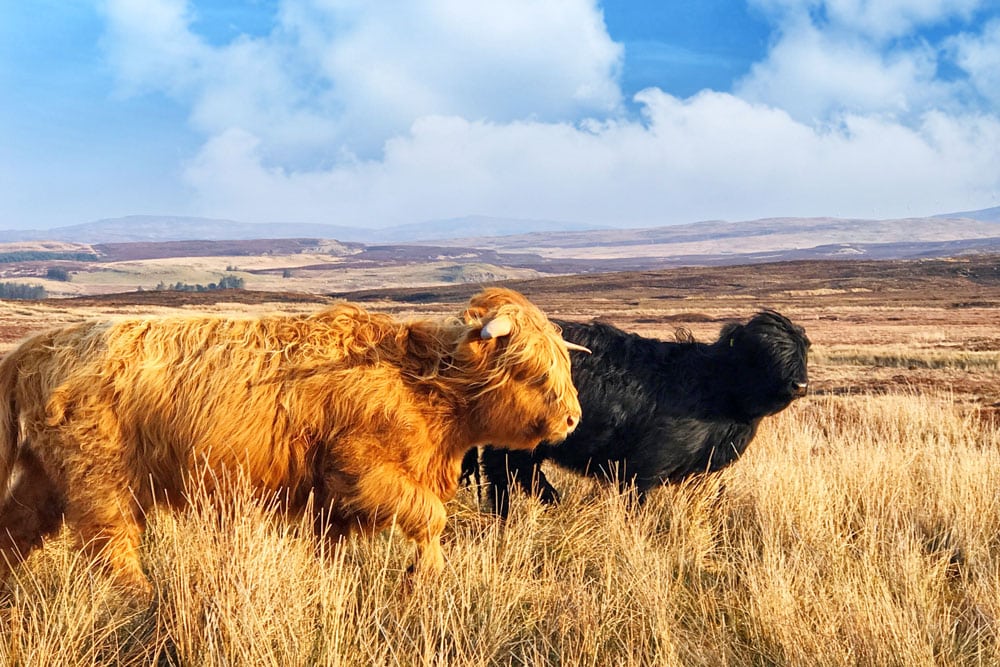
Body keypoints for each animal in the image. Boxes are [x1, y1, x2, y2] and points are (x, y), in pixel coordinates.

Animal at [0, 288, 584, 596]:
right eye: (532, 370)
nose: (574, 418)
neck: (423, 384)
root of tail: (39, 346)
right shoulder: (360, 466)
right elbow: (430, 515)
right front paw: (427, 573)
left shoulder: (332, 497)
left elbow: (333, 542)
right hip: (101, 480)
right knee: (110, 544)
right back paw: (139, 598)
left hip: (44, 476)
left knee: (17, 526)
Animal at [468, 310, 812, 520]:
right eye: (762, 353)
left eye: (801, 350)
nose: (799, 385)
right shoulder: (643, 466)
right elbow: (638, 506)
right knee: (502, 472)